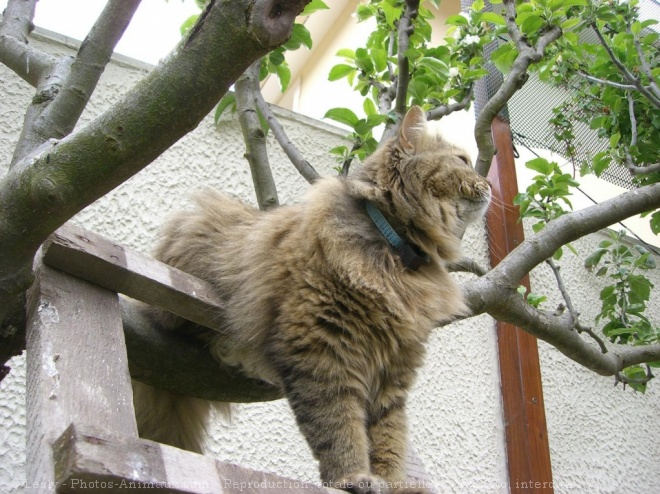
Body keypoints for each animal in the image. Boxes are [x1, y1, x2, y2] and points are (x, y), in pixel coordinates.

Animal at [134, 107, 492, 494]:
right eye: (462, 161)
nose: (489, 185)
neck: (395, 251)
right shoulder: (322, 350)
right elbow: (340, 428)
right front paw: (353, 478)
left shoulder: (393, 373)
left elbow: (388, 437)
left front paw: (392, 483)